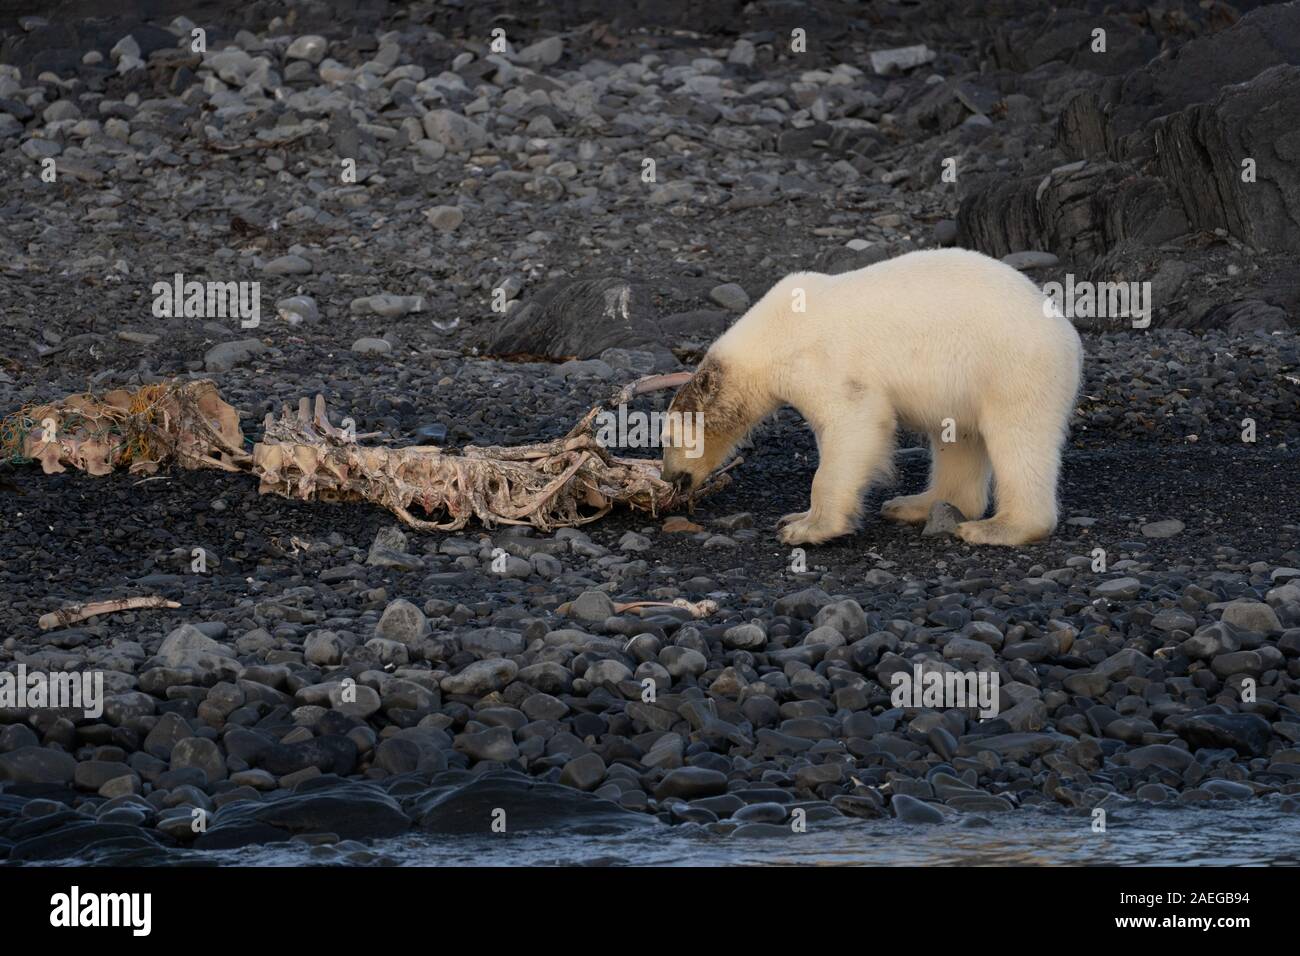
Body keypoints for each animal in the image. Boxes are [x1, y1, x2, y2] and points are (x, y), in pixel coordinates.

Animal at [660, 247, 1086, 546]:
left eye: (668, 438)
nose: (669, 477)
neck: (774, 332)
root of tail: (1067, 333)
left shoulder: (823, 360)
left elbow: (855, 424)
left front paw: (806, 527)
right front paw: (794, 518)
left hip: (1010, 369)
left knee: (1018, 439)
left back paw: (998, 529)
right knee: (956, 438)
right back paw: (914, 504)